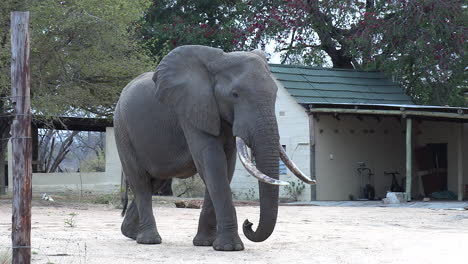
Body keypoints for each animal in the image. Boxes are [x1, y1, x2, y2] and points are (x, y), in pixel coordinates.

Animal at [113, 45, 314, 252]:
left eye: (275, 95)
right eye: (235, 94)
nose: (248, 223)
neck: (219, 60)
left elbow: (226, 167)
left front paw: (206, 243)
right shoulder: (191, 109)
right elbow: (212, 162)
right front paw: (230, 247)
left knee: (154, 181)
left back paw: (130, 233)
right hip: (122, 130)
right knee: (140, 181)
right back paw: (149, 240)